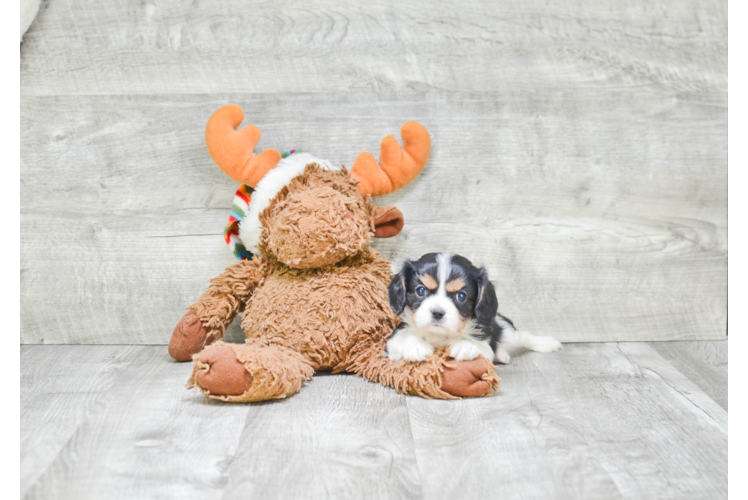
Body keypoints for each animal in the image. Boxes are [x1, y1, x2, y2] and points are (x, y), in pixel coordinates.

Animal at [386, 254, 560, 364]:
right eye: (421, 291)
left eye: (461, 296)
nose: (437, 313)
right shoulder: (392, 341)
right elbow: (404, 337)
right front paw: (416, 346)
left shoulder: (485, 345)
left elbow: (480, 345)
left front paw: (465, 345)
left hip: (505, 329)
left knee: (523, 337)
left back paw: (548, 343)